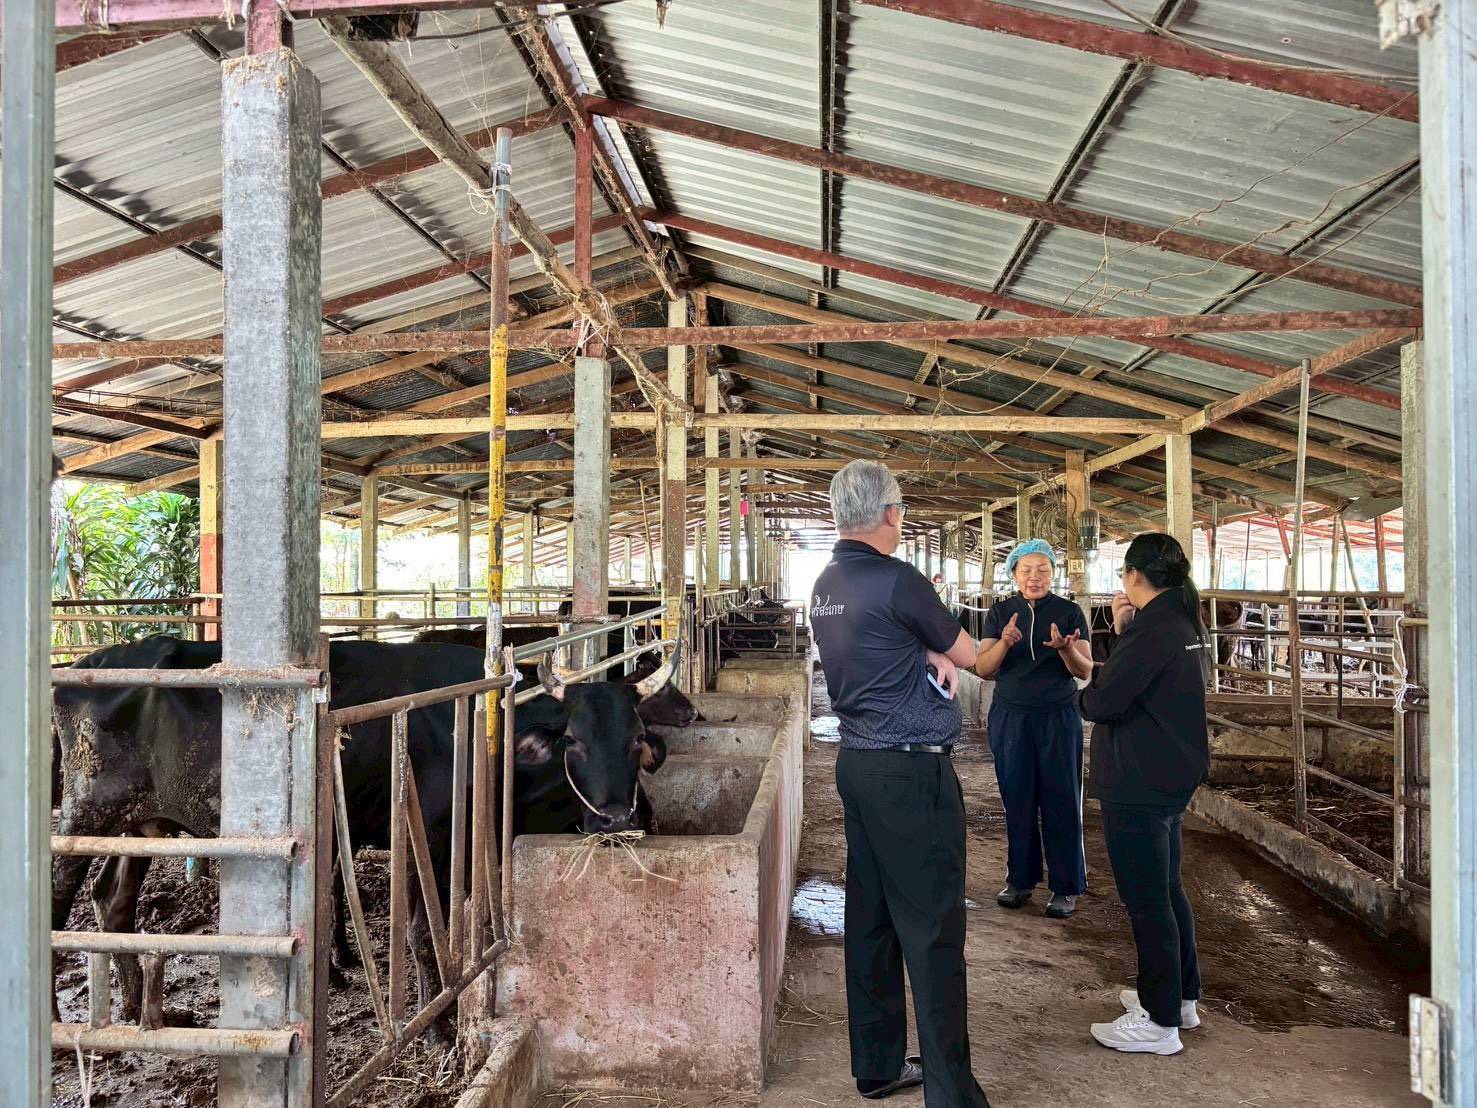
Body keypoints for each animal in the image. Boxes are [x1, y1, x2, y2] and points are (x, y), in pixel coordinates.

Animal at [51, 633, 683, 1040]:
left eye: (635, 739)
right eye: (572, 740)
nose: (617, 820)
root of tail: (93, 662)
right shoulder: (430, 838)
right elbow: (425, 933)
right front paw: (438, 1026)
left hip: (140, 824)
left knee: (113, 900)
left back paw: (137, 1008)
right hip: (85, 812)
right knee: (62, 897)